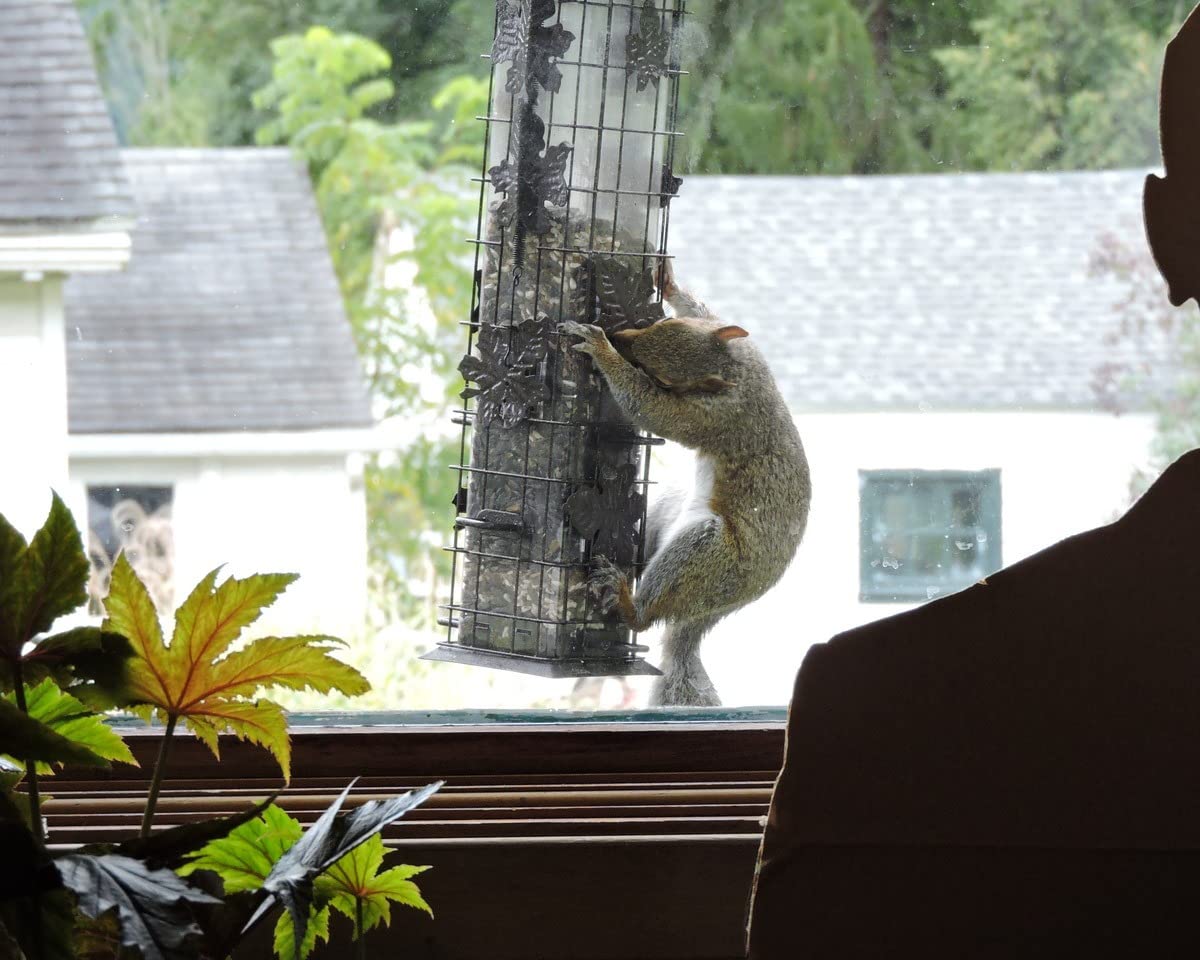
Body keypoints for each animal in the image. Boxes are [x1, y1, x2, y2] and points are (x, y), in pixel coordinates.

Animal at [560, 262, 811, 707]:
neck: (735, 371)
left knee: (645, 619)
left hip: (706, 553)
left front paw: (600, 350)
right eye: (666, 322)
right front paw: (668, 281)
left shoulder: (713, 418)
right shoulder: (752, 350)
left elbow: (652, 410)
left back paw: (625, 599)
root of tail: (711, 612)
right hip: (667, 508)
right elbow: (707, 311)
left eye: (661, 378)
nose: (619, 338)